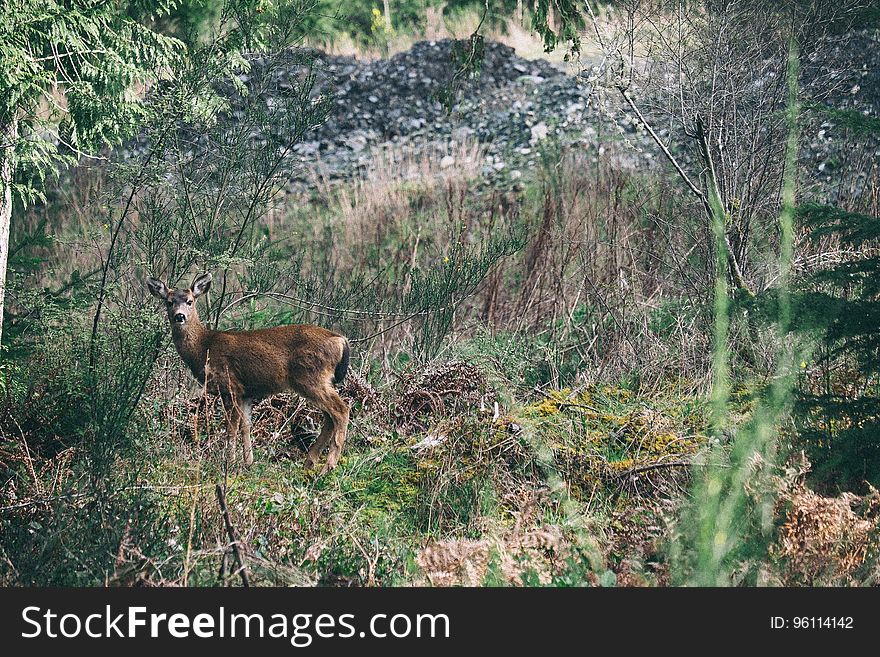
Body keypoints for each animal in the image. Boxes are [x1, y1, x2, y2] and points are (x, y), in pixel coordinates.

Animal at [148, 272, 350, 472]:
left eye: (190, 301)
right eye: (169, 302)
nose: (179, 316)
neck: (204, 348)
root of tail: (341, 340)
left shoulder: (231, 386)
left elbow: (232, 428)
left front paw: (229, 463)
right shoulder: (245, 392)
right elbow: (246, 425)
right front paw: (248, 462)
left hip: (310, 377)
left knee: (341, 409)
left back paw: (327, 467)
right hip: (317, 380)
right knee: (329, 417)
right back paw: (309, 464)